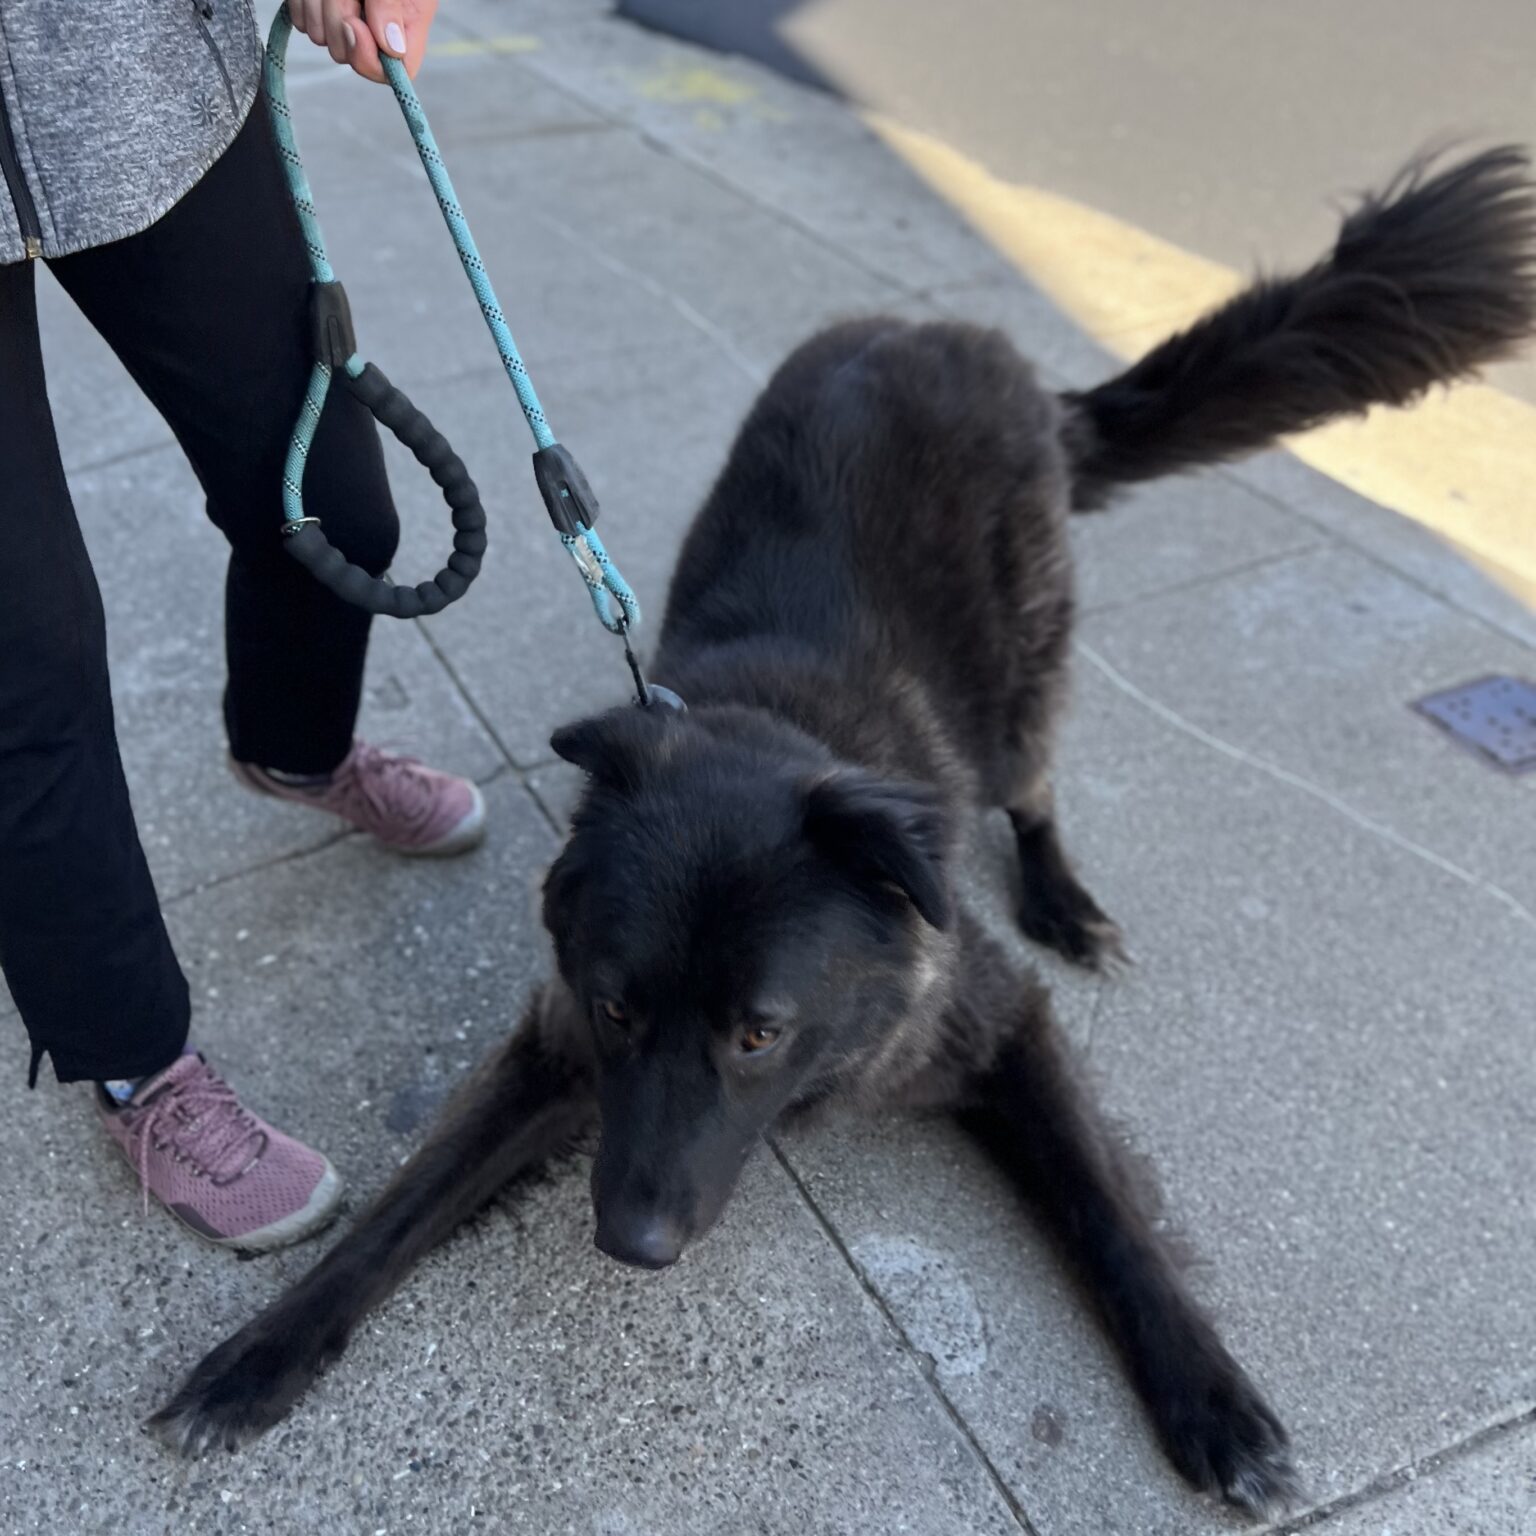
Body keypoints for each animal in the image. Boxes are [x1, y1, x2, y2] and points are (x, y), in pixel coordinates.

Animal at [149, 149, 1529, 1517]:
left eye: (761, 1032)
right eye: (617, 1008)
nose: (631, 1248)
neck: (781, 739)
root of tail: (965, 342)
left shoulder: (1000, 1017)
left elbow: (1105, 1210)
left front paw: (1211, 1394)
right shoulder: (554, 1047)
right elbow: (404, 1202)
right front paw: (259, 1354)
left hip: (1022, 683)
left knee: (1032, 786)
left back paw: (1064, 897)